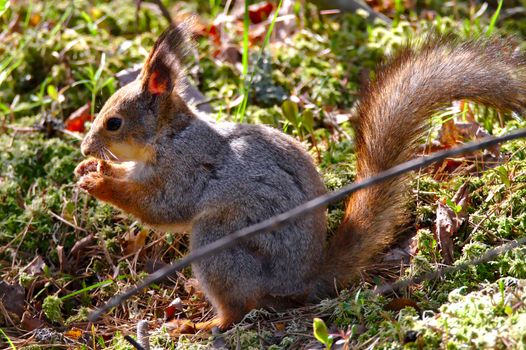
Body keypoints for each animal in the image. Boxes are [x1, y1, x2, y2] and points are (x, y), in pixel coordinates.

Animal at [74, 21, 526, 330]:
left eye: (113, 122)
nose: (84, 148)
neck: (169, 135)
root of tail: (305, 278)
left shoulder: (186, 168)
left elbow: (162, 207)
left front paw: (99, 182)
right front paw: (94, 168)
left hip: (218, 246)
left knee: (240, 305)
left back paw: (205, 324)